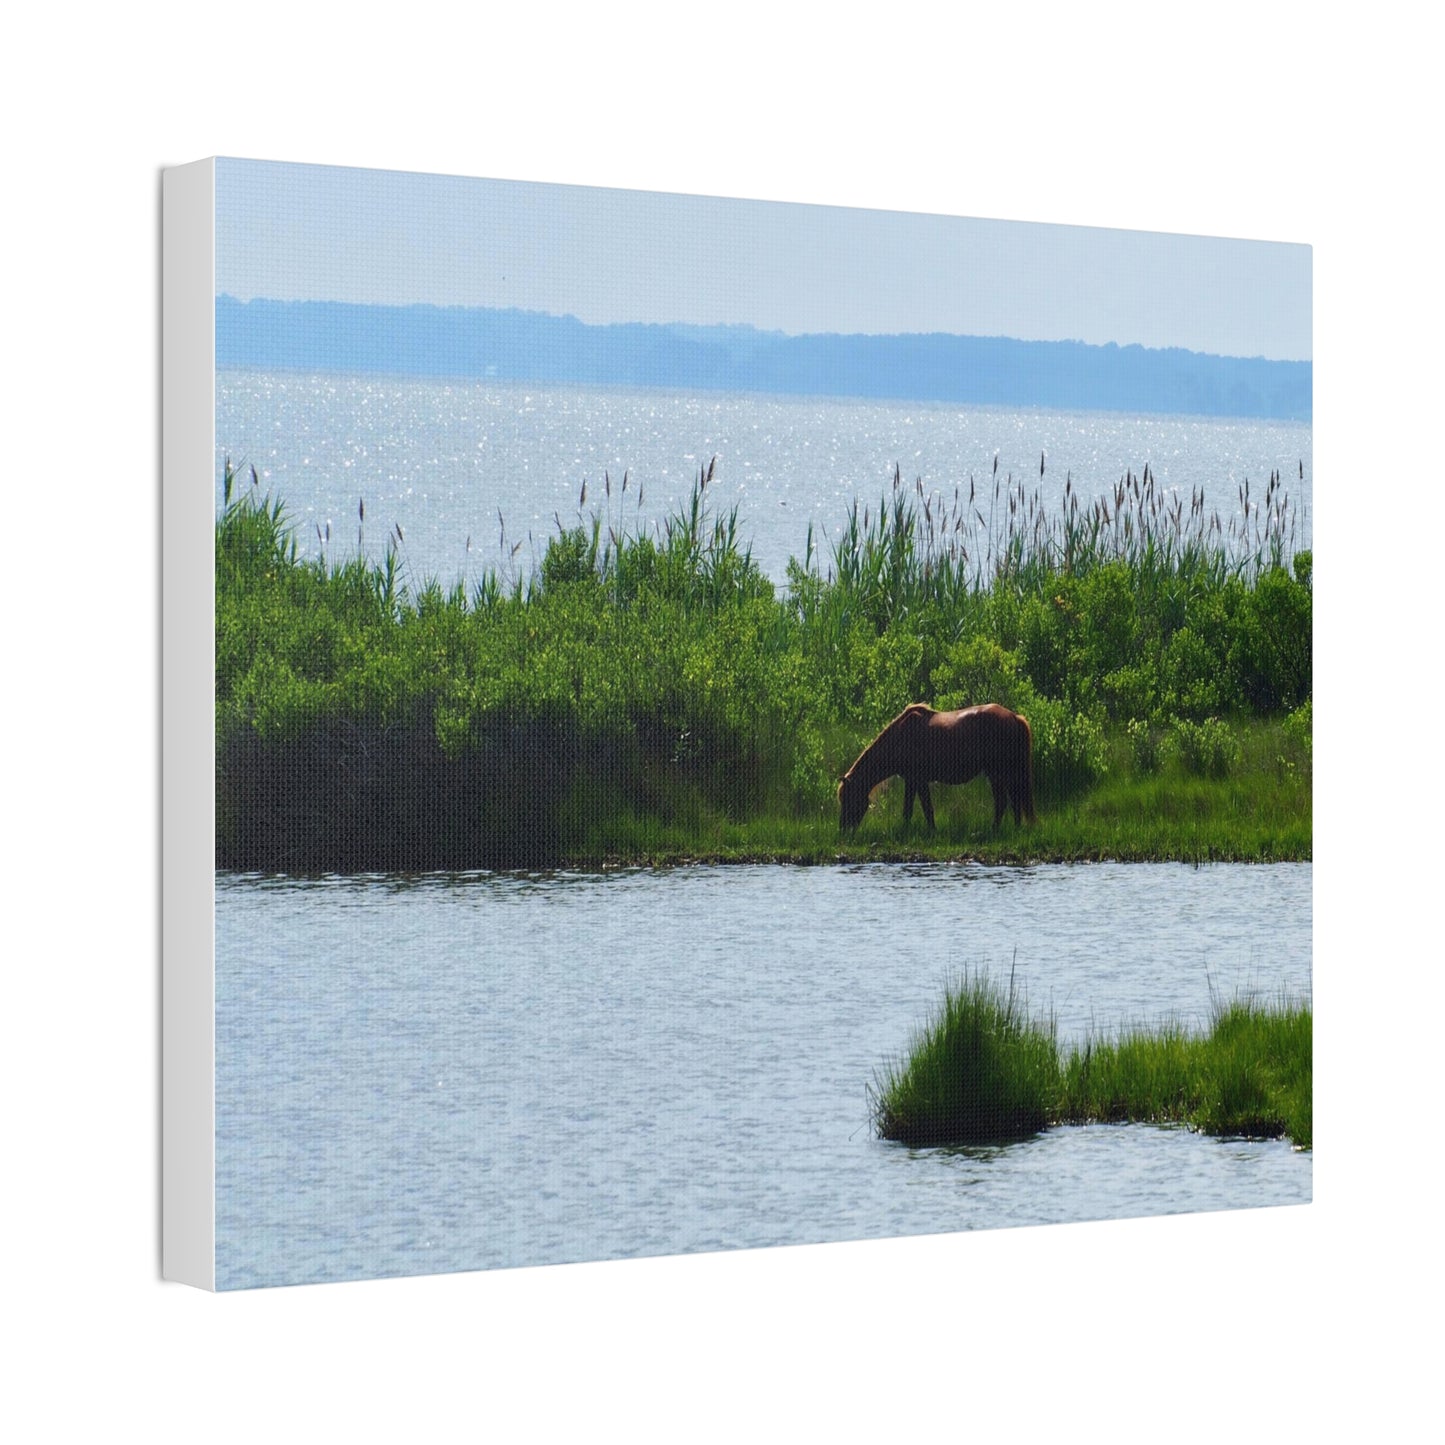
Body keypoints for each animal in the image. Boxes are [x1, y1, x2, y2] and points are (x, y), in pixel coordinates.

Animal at [843, 702, 1034, 832]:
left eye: (848, 798)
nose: (844, 830)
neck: (900, 737)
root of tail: (1014, 717)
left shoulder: (919, 780)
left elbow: (926, 809)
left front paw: (931, 831)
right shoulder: (911, 781)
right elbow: (908, 810)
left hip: (997, 773)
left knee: (1002, 801)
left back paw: (993, 829)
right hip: (1007, 773)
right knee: (1015, 800)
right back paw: (1016, 828)